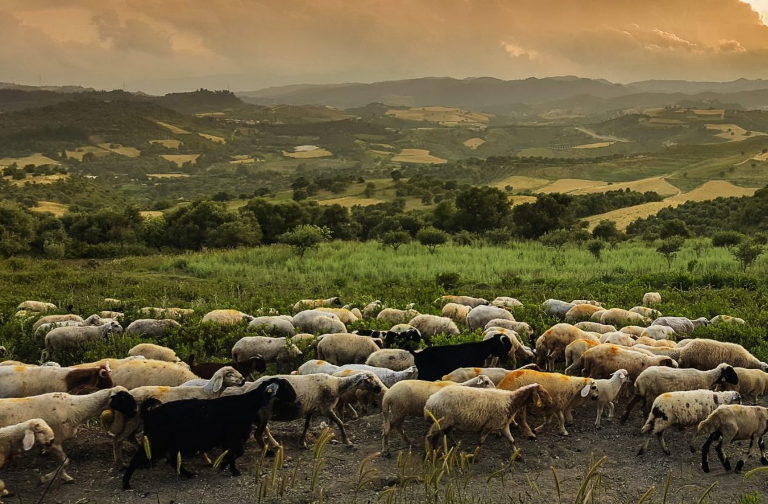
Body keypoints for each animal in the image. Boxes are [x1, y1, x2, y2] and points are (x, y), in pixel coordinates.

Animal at [0, 386, 136, 483]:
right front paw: (47, 478)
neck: (75, 408)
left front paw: (63, 477)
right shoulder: (54, 441)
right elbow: (65, 462)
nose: (135, 411)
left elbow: (64, 462)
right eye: (124, 397)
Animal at [122, 377, 292, 489]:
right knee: (137, 460)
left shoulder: (229, 438)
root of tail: (150, 414)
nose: (294, 397)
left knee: (172, 459)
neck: (246, 404)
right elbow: (237, 453)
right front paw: (226, 466)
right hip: (156, 441)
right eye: (284, 386)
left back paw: (187, 473)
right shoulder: (233, 436)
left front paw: (228, 467)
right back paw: (126, 484)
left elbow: (233, 453)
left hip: (169, 442)